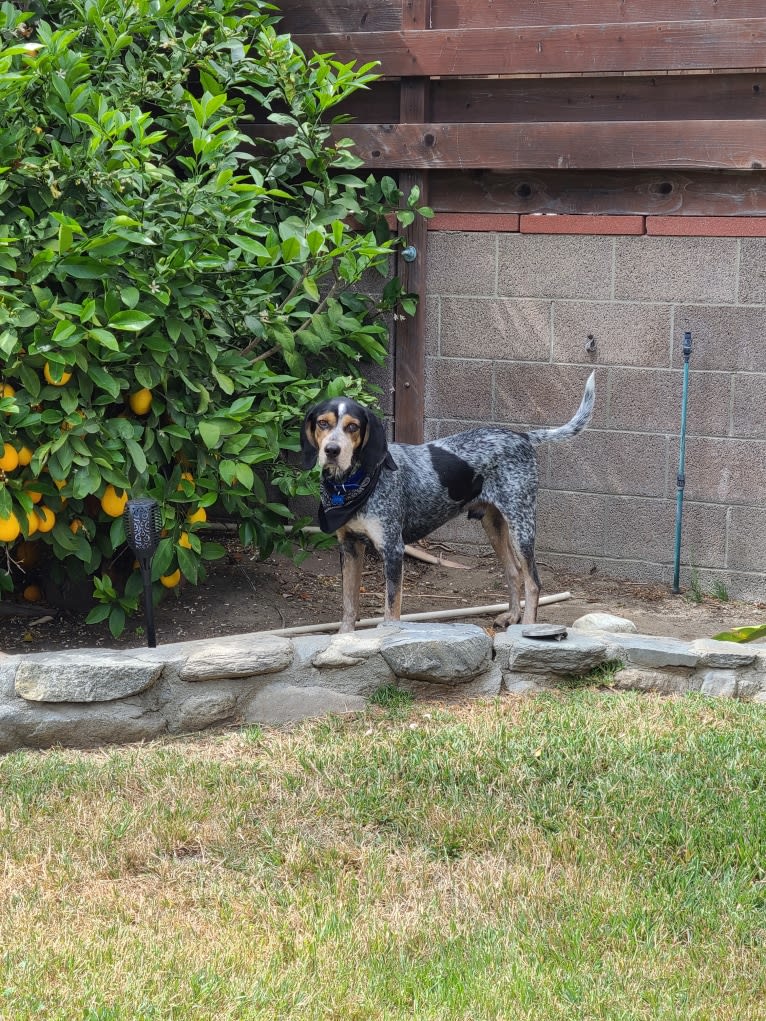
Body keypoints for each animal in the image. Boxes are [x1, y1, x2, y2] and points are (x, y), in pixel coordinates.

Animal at [302, 375, 596, 628]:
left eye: (352, 426)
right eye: (323, 423)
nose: (332, 450)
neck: (351, 485)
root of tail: (522, 436)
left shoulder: (393, 550)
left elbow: (391, 610)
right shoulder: (349, 546)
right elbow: (349, 606)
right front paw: (344, 638)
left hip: (521, 526)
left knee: (533, 581)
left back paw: (526, 628)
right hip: (494, 525)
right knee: (514, 572)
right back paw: (512, 616)